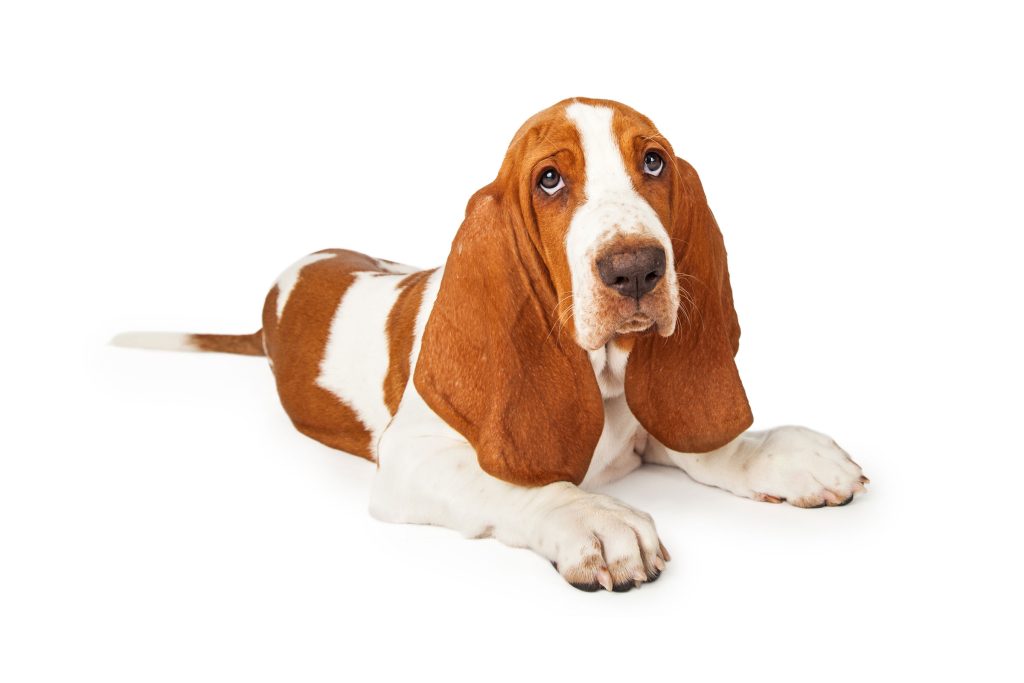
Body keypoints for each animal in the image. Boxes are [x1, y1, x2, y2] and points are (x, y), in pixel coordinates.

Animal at [114, 97, 864, 593]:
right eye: (549, 179)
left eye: (654, 162)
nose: (637, 269)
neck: (600, 376)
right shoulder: (411, 462)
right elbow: (515, 485)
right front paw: (589, 517)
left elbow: (703, 441)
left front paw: (779, 453)